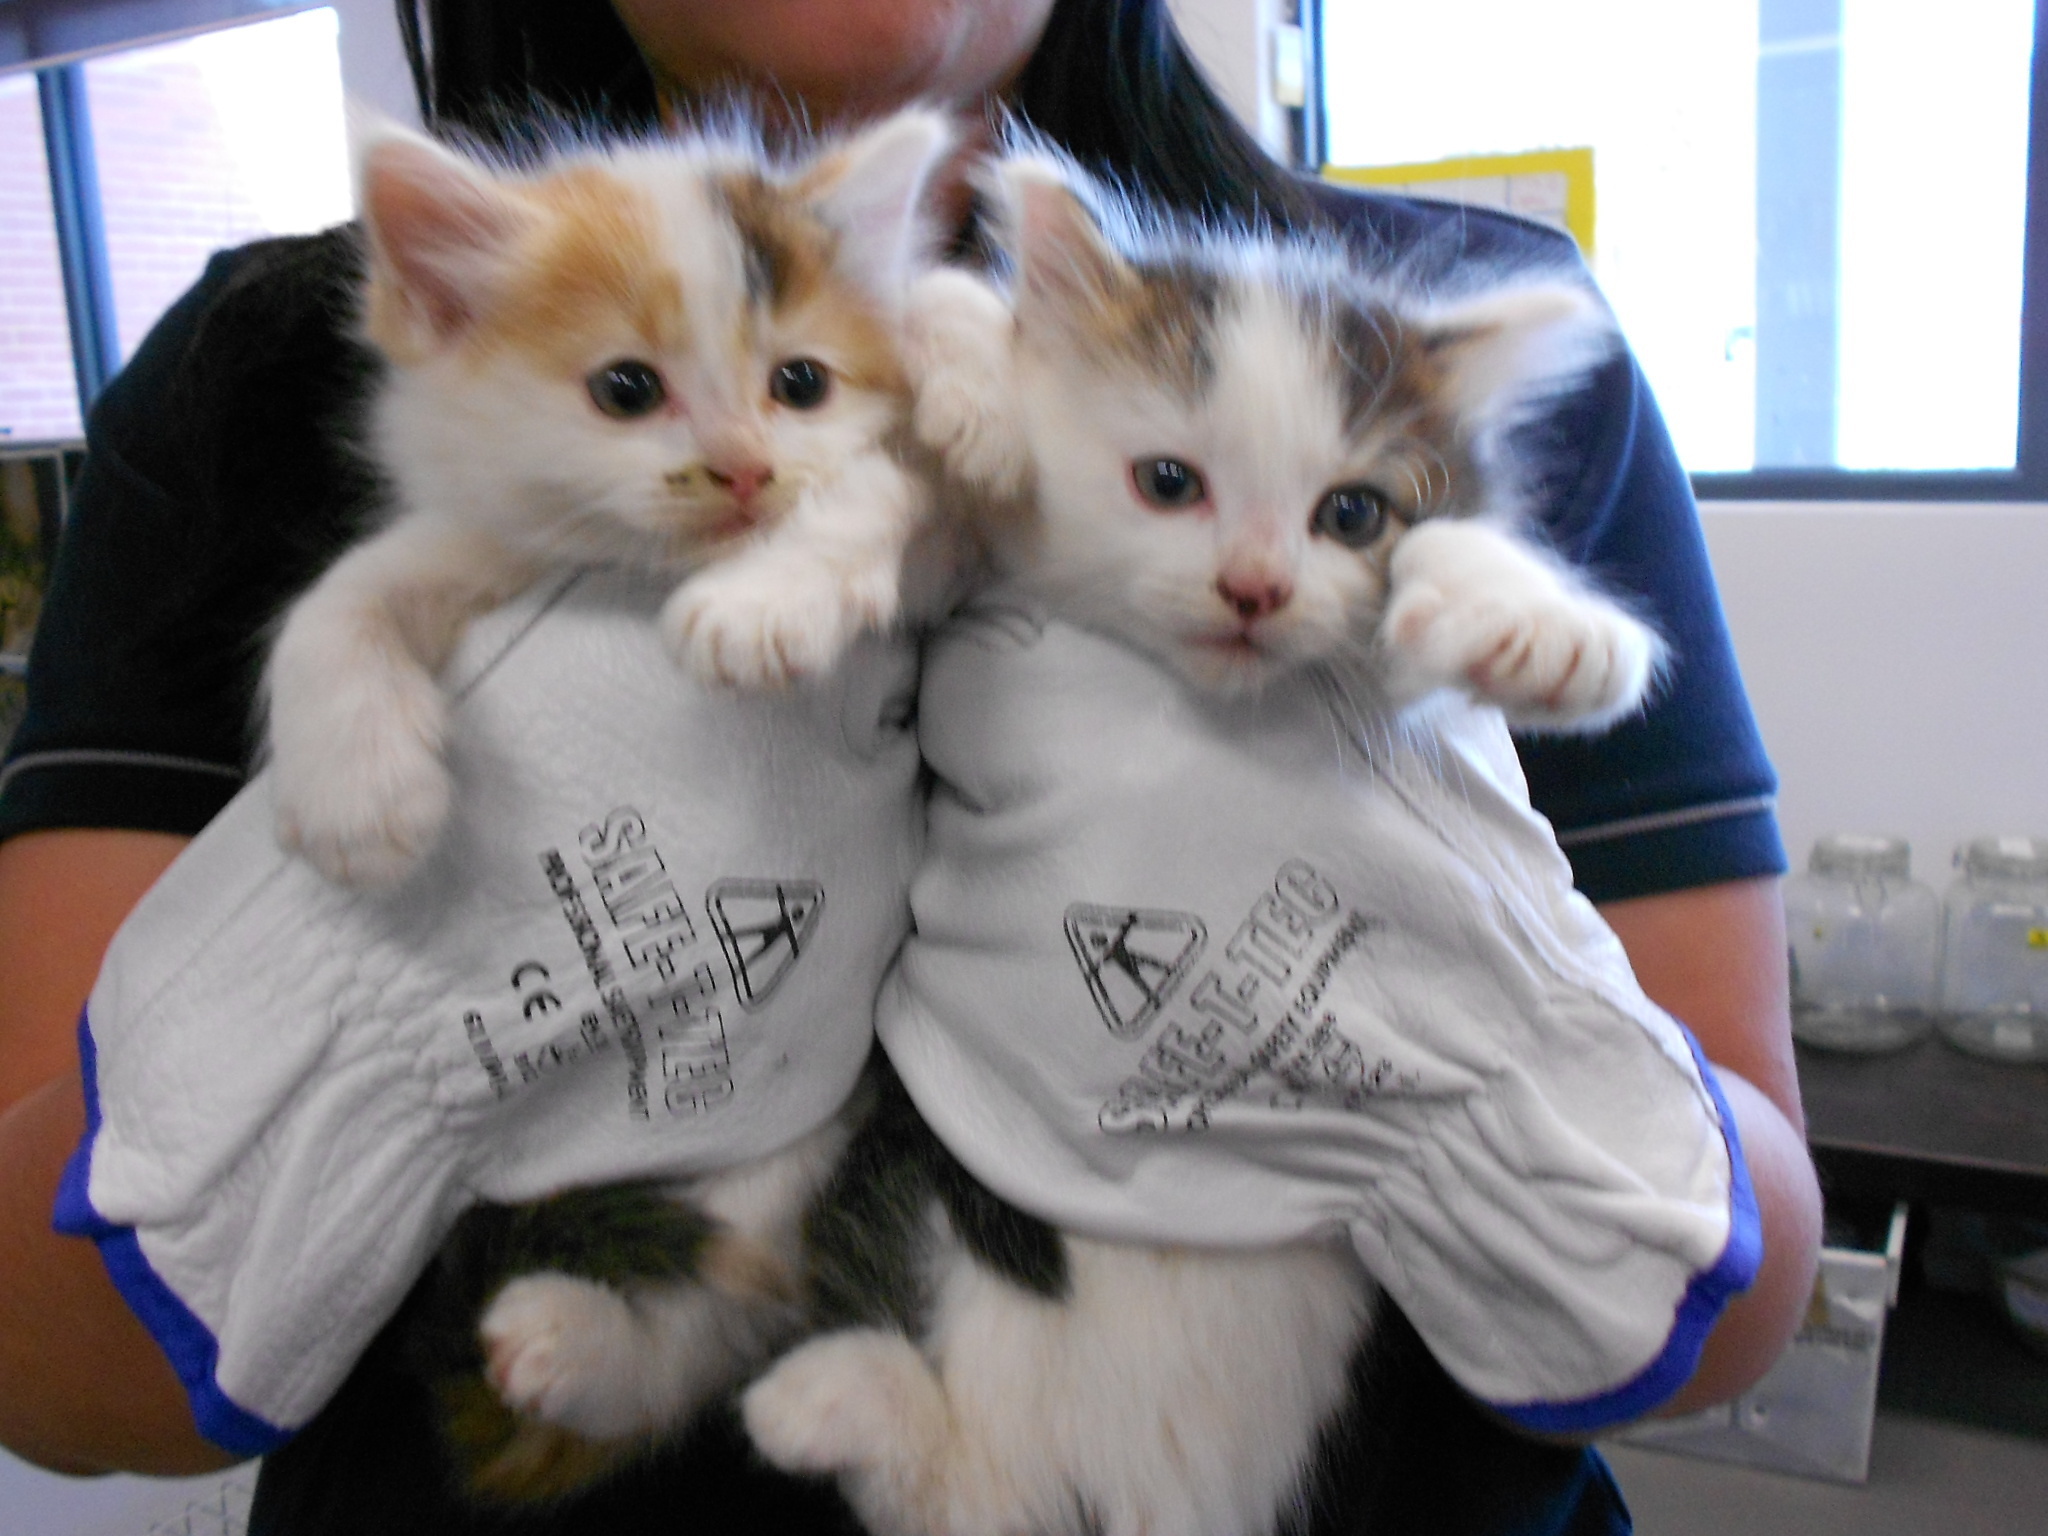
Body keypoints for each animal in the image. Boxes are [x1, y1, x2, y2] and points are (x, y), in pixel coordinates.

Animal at [265, 109, 953, 890]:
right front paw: (353, 794)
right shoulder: (504, 532)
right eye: (627, 390)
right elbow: (343, 595)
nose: (744, 468)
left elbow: (886, 483)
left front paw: (758, 605)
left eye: (803, 383)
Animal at [735, 148, 1667, 1536]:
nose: (1253, 589)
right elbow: (915, 454)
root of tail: (1127, 1489)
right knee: (946, 1483)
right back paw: (824, 1399)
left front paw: (1541, 628)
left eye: (1352, 514)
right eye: (1168, 483)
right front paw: (958, 389)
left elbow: (1468, 587)